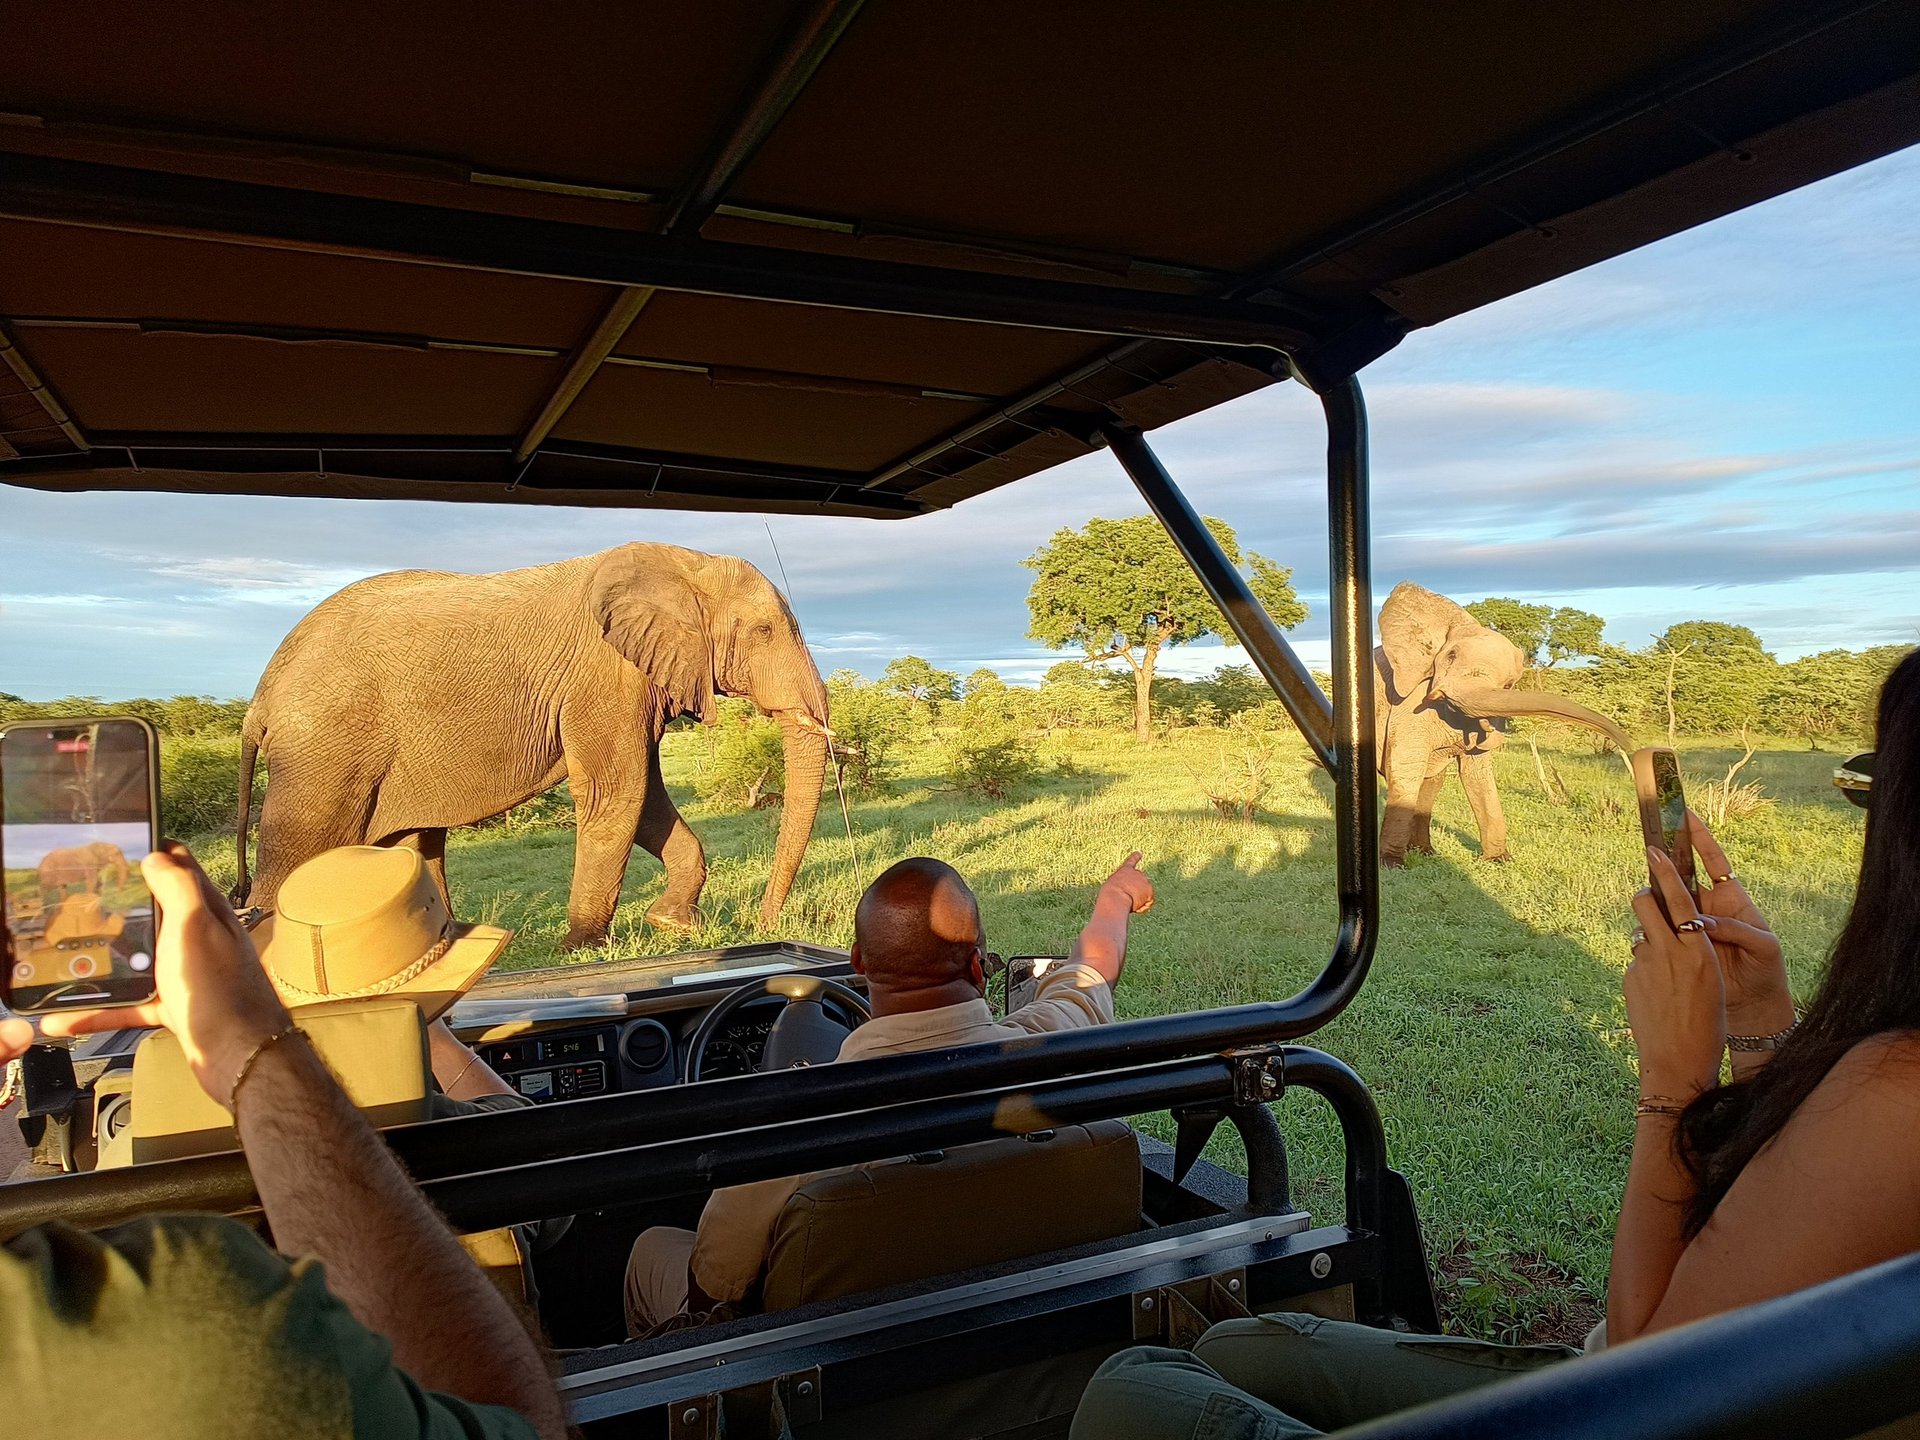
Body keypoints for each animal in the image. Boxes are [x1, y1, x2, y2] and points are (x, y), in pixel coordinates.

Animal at [233, 542, 831, 949]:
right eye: (763, 632)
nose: (765, 925)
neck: (685, 562)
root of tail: (260, 700)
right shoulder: (602, 675)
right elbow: (618, 793)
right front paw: (582, 949)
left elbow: (644, 799)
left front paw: (671, 926)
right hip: (325, 751)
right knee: (300, 853)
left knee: (413, 843)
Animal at [1374, 582, 1632, 867]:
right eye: (1451, 655)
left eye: (1508, 684)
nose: (1629, 745)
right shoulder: (1408, 703)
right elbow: (1407, 769)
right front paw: (1391, 865)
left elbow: (1477, 774)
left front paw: (1500, 860)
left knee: (1433, 782)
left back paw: (1426, 852)